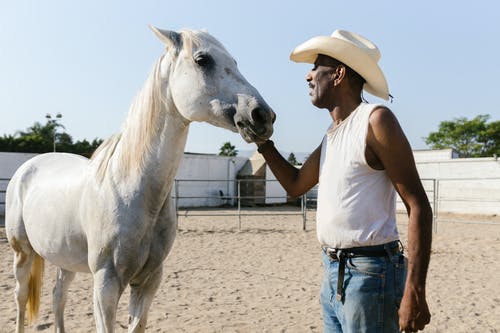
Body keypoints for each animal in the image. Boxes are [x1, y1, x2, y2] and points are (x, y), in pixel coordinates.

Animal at [5, 26, 276, 332]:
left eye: (235, 62)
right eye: (202, 60)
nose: (262, 115)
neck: (131, 190)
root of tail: (28, 166)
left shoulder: (149, 281)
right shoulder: (106, 284)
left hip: (65, 259)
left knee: (58, 296)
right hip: (22, 253)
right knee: (21, 297)